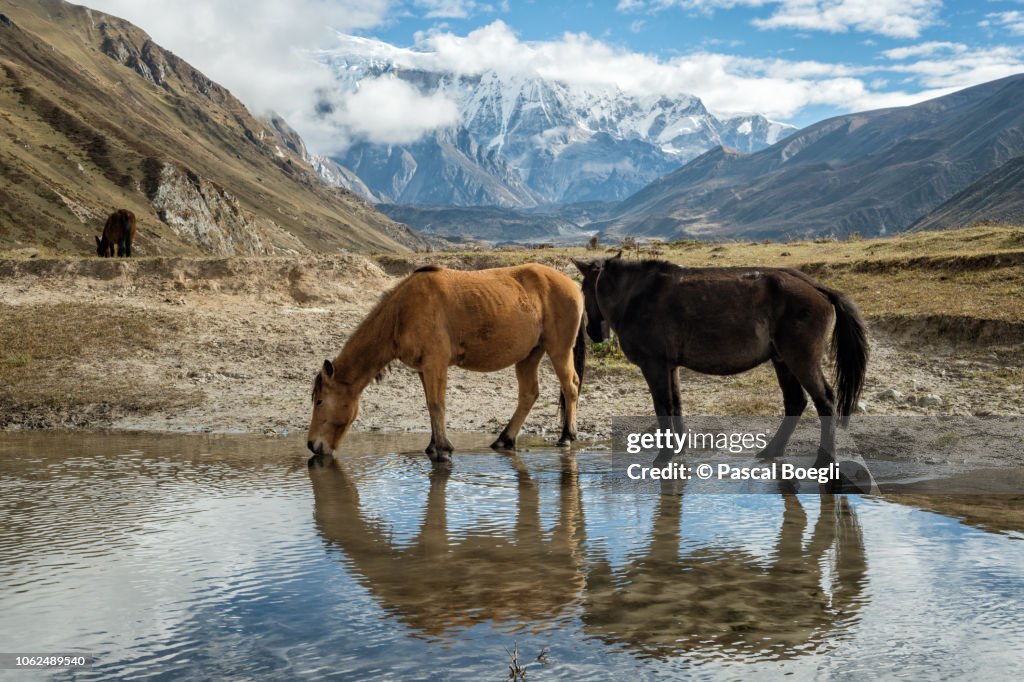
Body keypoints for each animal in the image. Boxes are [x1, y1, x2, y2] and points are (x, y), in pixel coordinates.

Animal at [307, 260, 589, 462]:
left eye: (320, 401)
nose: (312, 445)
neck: (402, 312)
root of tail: (573, 286)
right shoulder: (423, 369)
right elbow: (430, 405)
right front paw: (434, 446)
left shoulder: (436, 363)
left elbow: (437, 404)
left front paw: (442, 448)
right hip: (530, 355)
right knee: (529, 394)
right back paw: (504, 439)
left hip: (559, 349)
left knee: (570, 386)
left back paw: (567, 436)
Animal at [573, 254, 868, 466]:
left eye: (584, 289)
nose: (593, 332)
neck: (638, 295)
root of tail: (817, 287)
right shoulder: (670, 367)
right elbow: (676, 406)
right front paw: (678, 452)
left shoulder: (654, 365)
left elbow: (663, 407)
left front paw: (664, 455)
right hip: (782, 360)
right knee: (796, 402)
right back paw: (771, 451)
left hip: (800, 359)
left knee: (825, 401)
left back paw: (823, 460)